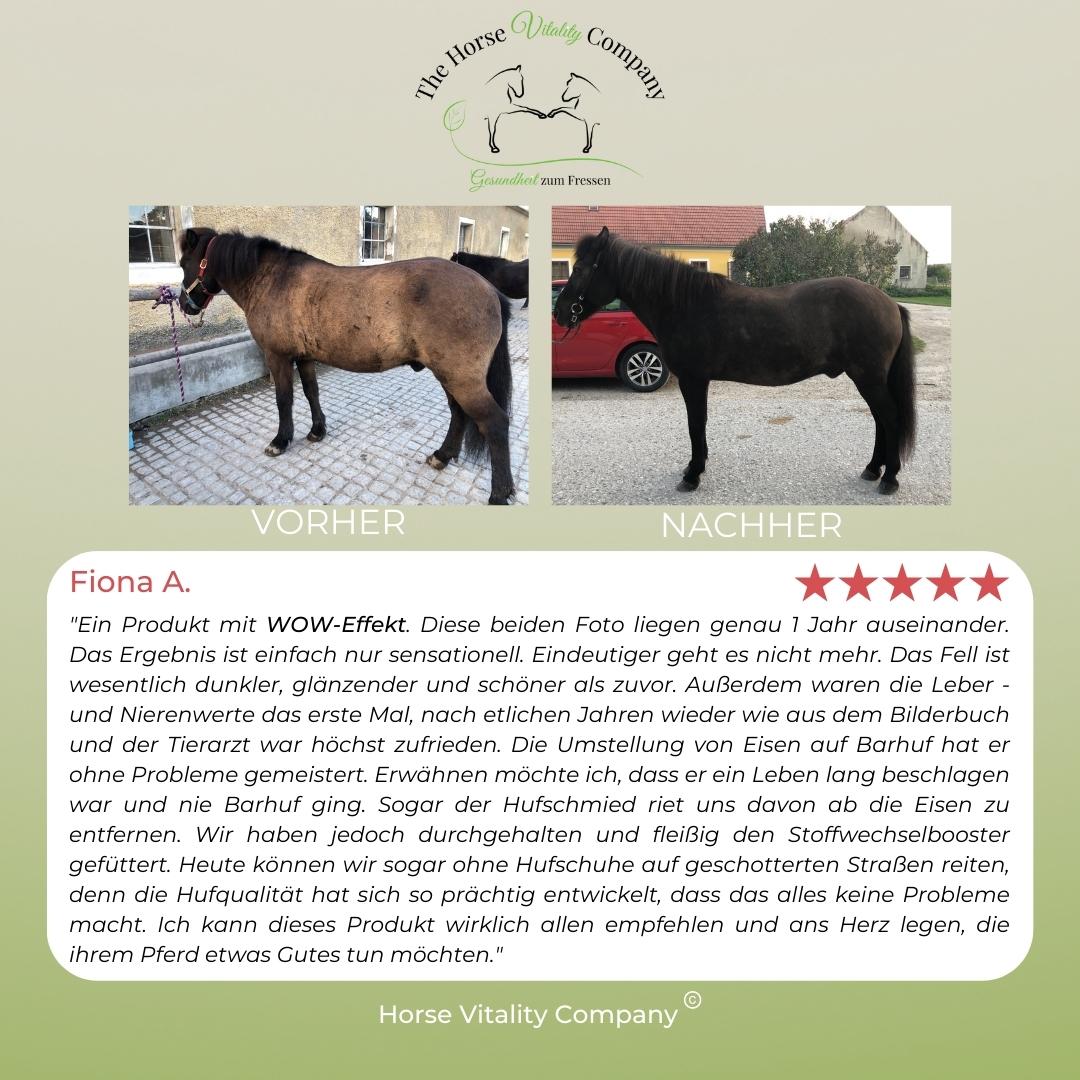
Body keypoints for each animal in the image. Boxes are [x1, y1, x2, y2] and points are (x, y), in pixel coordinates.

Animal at [178, 228, 516, 504]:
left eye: (183, 264)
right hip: (450, 376)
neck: (274, 280)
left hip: (461, 379)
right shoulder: (304, 356)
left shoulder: (278, 357)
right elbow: (311, 392)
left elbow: (284, 399)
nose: (184, 305)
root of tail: (490, 291)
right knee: (459, 413)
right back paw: (442, 456)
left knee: (495, 423)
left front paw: (280, 440)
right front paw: (317, 431)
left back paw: (499, 495)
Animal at [553, 227, 916, 496]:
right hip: (867, 378)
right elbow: (697, 425)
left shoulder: (693, 380)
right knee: (880, 420)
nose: (560, 312)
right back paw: (873, 470)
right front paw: (694, 468)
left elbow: (696, 424)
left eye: (581, 268)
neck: (684, 304)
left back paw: (889, 478)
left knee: (889, 417)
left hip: (868, 377)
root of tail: (889, 303)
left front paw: (692, 475)